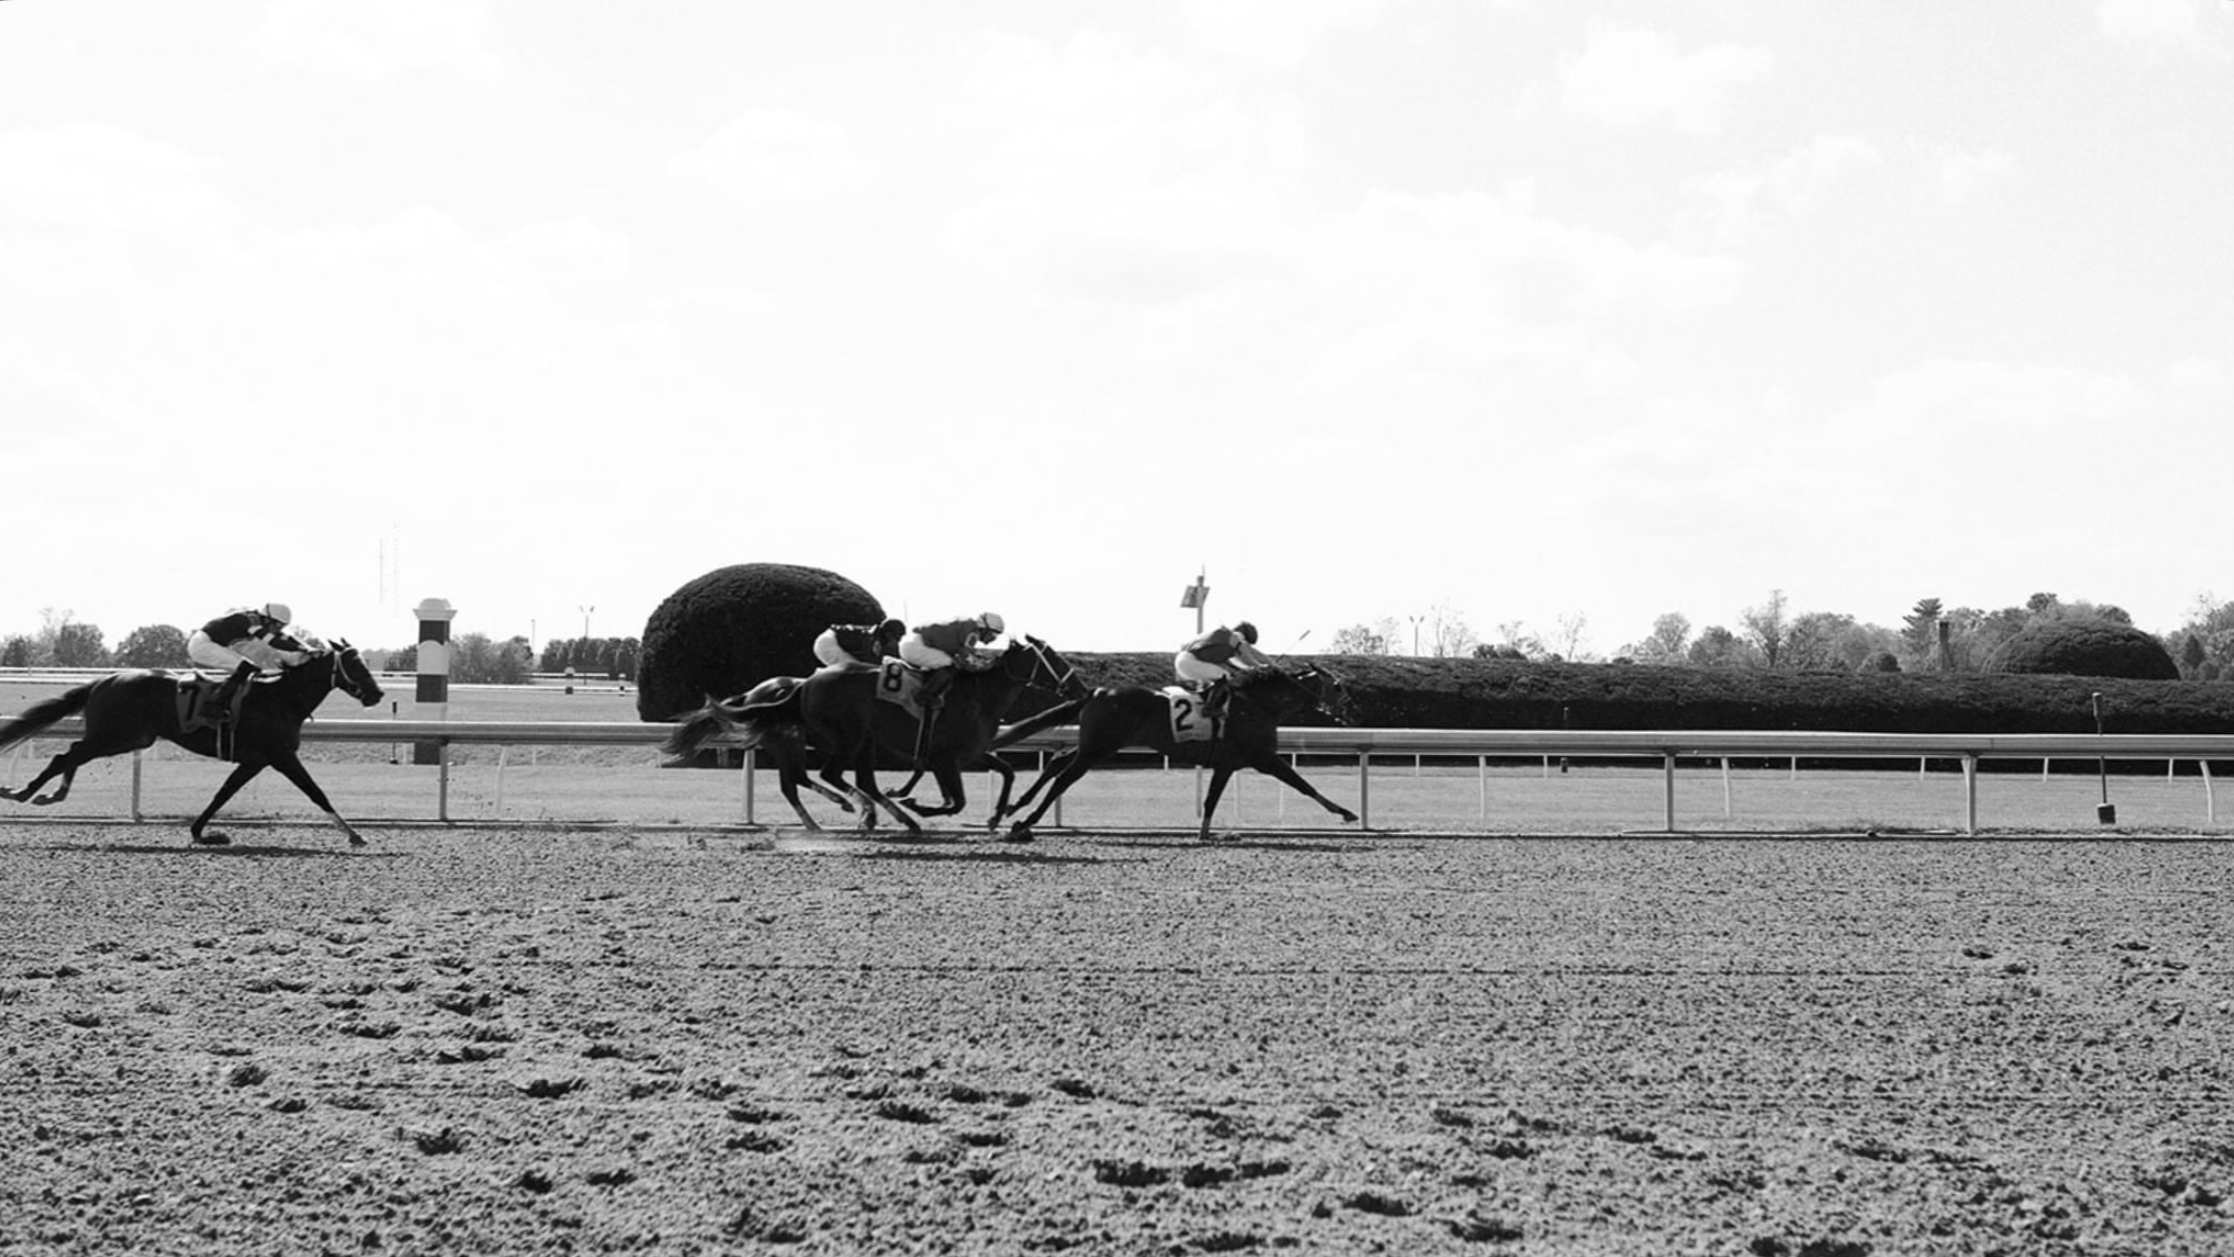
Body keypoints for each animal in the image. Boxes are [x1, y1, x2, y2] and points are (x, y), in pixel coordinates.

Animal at [0, 640, 385, 847]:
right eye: (354, 664)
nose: (378, 694)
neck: (281, 697)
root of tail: (105, 680)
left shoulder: (254, 761)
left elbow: (222, 795)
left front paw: (202, 833)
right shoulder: (281, 755)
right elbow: (316, 792)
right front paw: (354, 834)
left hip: (122, 737)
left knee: (72, 755)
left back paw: (49, 793)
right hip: (117, 736)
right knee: (65, 756)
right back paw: (23, 791)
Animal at [663, 635, 1086, 837]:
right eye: (1054, 657)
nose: (1080, 687)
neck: (980, 695)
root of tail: (804, 686)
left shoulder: (971, 753)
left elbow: (1007, 773)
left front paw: (998, 817)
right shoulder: (943, 758)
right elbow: (955, 802)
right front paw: (917, 803)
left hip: (850, 740)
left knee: (830, 780)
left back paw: (867, 815)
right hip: (838, 737)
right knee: (824, 776)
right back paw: (857, 810)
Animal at [988, 665, 1361, 843]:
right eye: (1337, 685)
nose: (1350, 706)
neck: (1258, 704)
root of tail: (1097, 691)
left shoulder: (1228, 764)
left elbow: (1211, 800)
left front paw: (1206, 833)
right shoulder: (1263, 757)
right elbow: (1302, 784)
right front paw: (1345, 812)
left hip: (1096, 744)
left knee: (1057, 763)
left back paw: (1011, 809)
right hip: (1100, 746)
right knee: (1065, 777)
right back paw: (1024, 822)